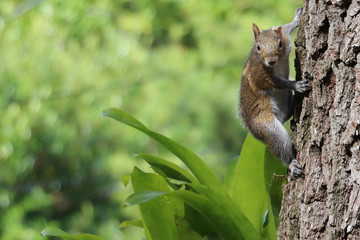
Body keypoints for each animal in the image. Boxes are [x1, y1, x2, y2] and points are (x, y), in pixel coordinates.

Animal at [239, 7, 310, 177]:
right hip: (269, 128)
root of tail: (252, 129)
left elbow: (284, 28)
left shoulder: (285, 37)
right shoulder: (260, 76)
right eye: (258, 47)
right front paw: (296, 85)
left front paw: (296, 19)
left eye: (280, 44)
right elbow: (278, 83)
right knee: (281, 148)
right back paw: (292, 164)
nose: (271, 60)